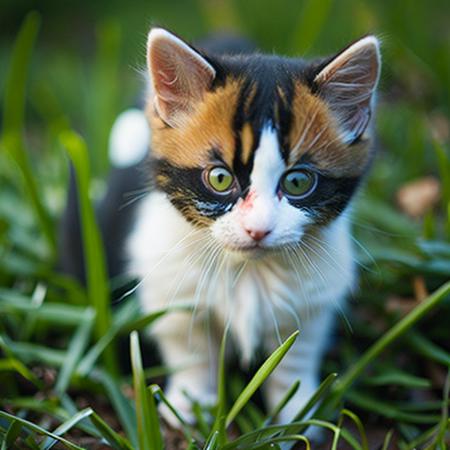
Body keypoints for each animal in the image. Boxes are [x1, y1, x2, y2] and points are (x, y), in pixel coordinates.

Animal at [125, 28, 380, 428]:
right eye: (219, 178)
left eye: (297, 182)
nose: (257, 230)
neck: (249, 269)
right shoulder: (173, 287)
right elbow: (190, 346)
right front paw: (190, 404)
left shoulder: (313, 298)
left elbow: (294, 356)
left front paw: (296, 411)